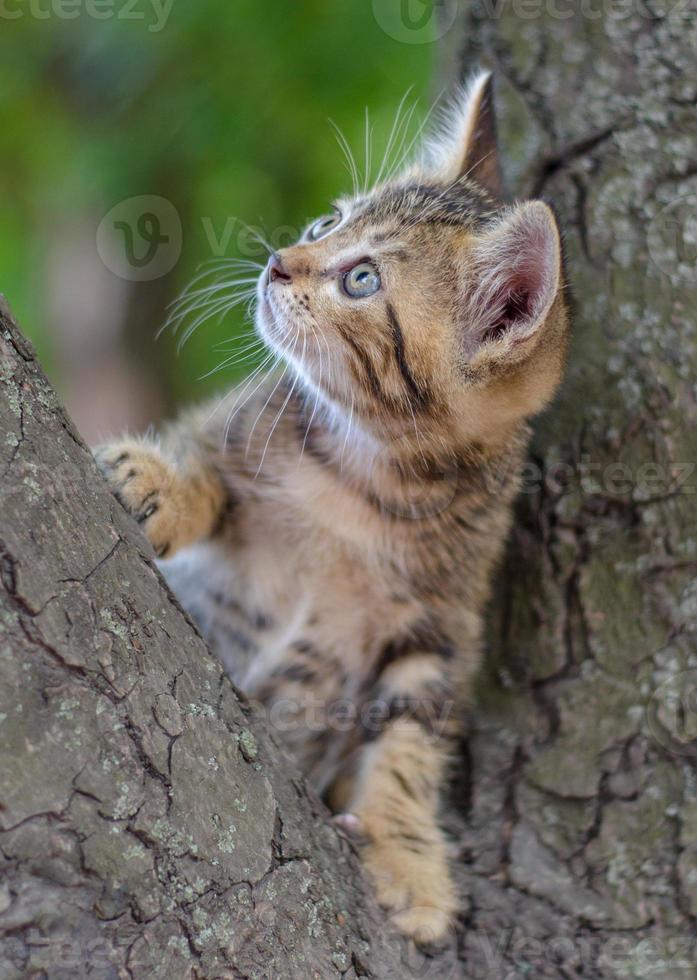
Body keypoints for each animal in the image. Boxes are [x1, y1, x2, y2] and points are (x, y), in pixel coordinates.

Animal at [96, 72, 564, 944]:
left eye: (361, 280)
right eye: (325, 222)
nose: (278, 263)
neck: (366, 473)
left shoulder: (442, 627)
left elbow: (410, 745)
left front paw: (410, 864)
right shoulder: (230, 428)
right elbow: (203, 469)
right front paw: (159, 484)